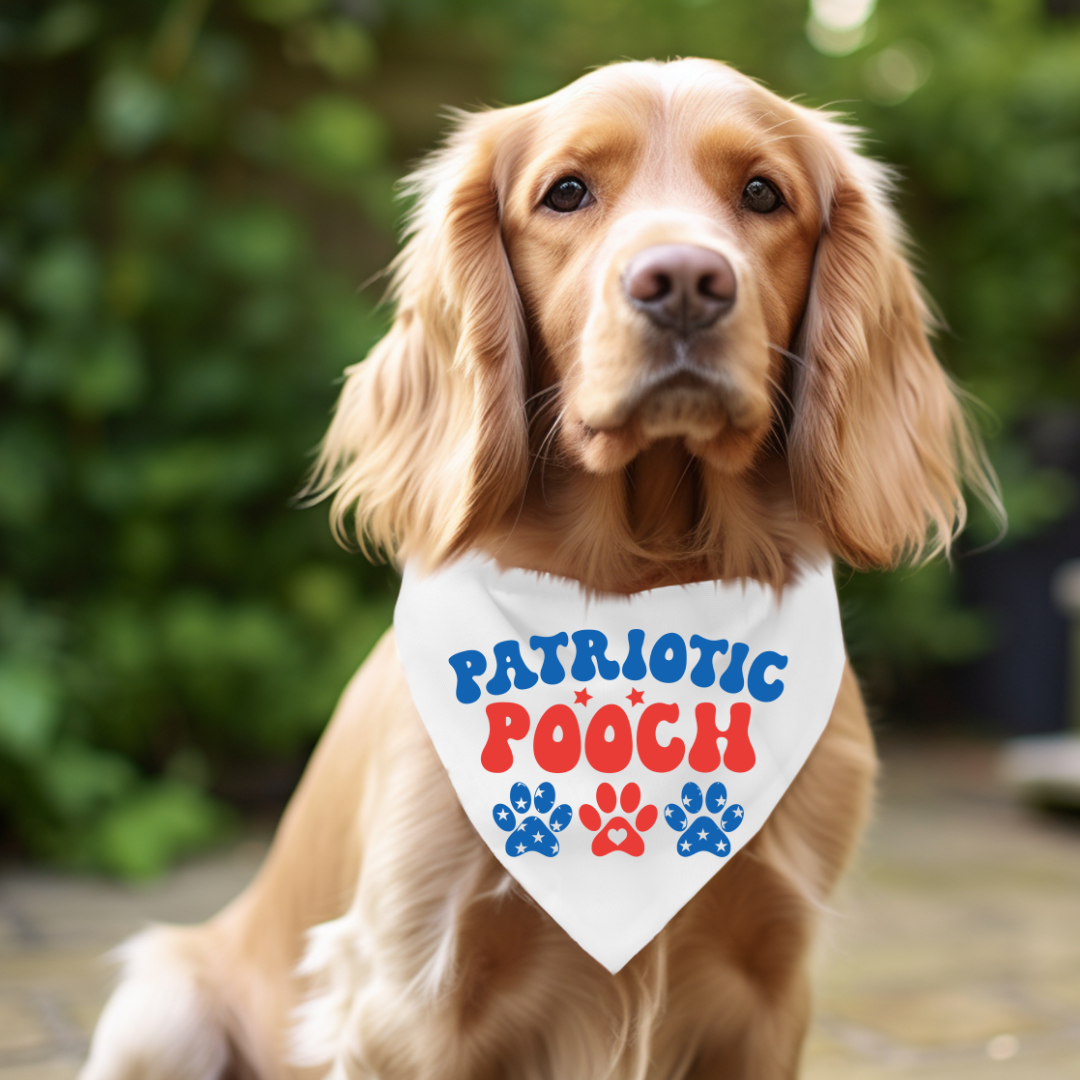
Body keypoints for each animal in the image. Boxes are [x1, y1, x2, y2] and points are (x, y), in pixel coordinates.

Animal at [79, 59, 997, 1080]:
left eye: (764, 194)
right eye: (567, 192)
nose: (684, 282)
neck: (642, 588)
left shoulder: (769, 987)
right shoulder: (412, 994)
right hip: (162, 1007)